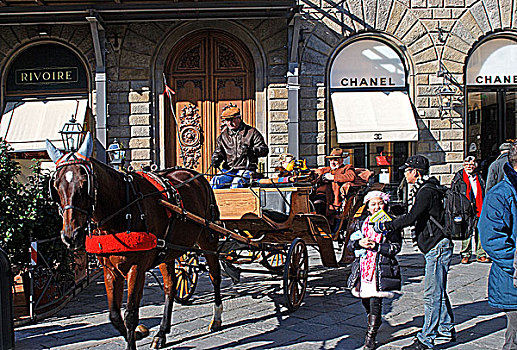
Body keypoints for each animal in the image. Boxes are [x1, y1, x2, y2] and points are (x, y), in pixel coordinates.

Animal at [48, 133, 224, 348]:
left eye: (84, 184)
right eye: (56, 187)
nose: (71, 236)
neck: (122, 208)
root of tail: (198, 176)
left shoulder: (137, 268)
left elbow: (131, 314)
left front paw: (134, 336)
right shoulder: (110, 270)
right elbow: (115, 316)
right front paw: (139, 333)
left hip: (208, 239)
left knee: (215, 275)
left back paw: (216, 318)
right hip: (167, 251)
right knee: (170, 286)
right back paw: (162, 333)